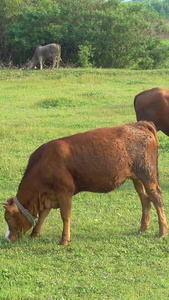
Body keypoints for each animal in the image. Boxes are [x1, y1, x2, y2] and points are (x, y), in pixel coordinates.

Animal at [3, 120, 168, 245]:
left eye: (8, 218)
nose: (7, 239)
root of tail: (139, 124)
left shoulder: (65, 191)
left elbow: (65, 216)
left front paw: (64, 240)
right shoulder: (49, 194)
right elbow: (43, 215)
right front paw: (35, 234)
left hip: (148, 175)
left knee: (156, 198)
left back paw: (162, 231)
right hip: (136, 178)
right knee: (145, 200)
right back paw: (142, 229)